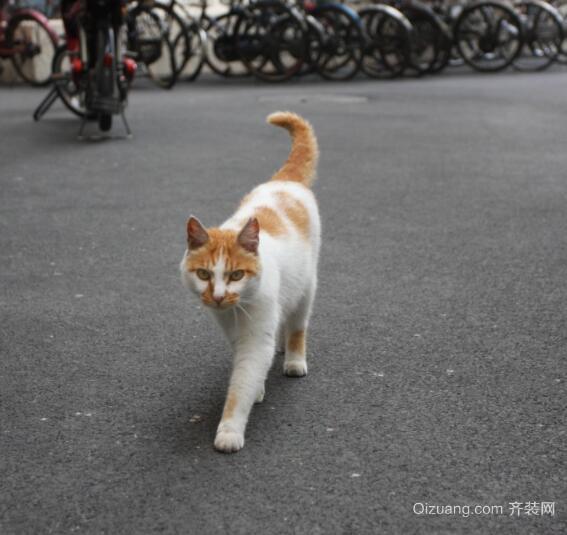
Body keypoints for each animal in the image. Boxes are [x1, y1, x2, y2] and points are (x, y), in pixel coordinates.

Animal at [180, 112, 322, 452]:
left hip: (307, 286)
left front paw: (229, 429)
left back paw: (294, 358)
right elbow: (248, 368)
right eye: (203, 274)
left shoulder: (256, 334)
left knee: (298, 324)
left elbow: (243, 381)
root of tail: (285, 181)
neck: (235, 310)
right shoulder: (233, 331)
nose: (218, 296)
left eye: (236, 275)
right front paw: (258, 389)